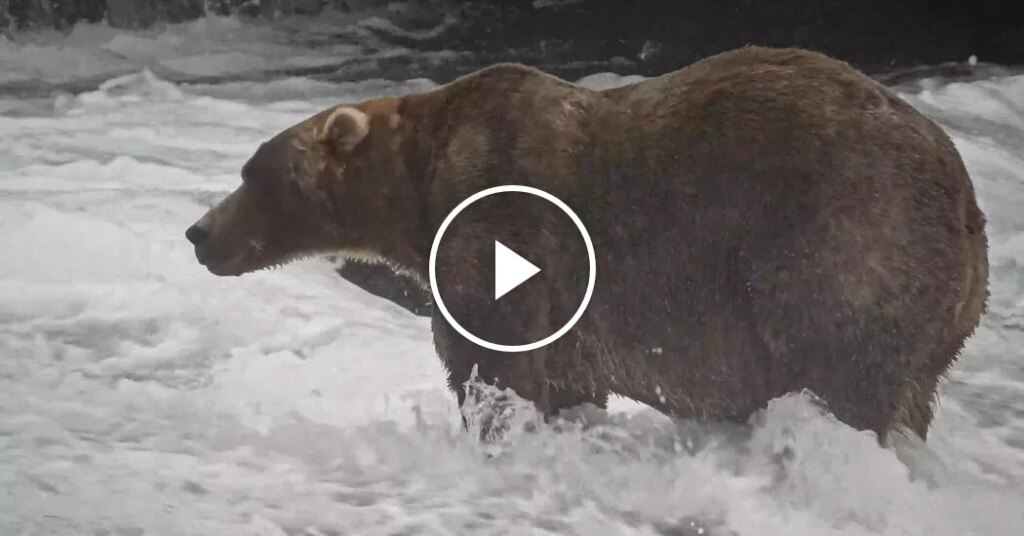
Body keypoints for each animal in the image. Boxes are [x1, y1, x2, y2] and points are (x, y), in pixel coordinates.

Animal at [185, 46, 988, 445]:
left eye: (252, 173)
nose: (198, 233)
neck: (416, 189)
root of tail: (965, 199)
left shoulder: (500, 225)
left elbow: (494, 362)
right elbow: (567, 381)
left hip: (840, 241)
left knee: (842, 368)